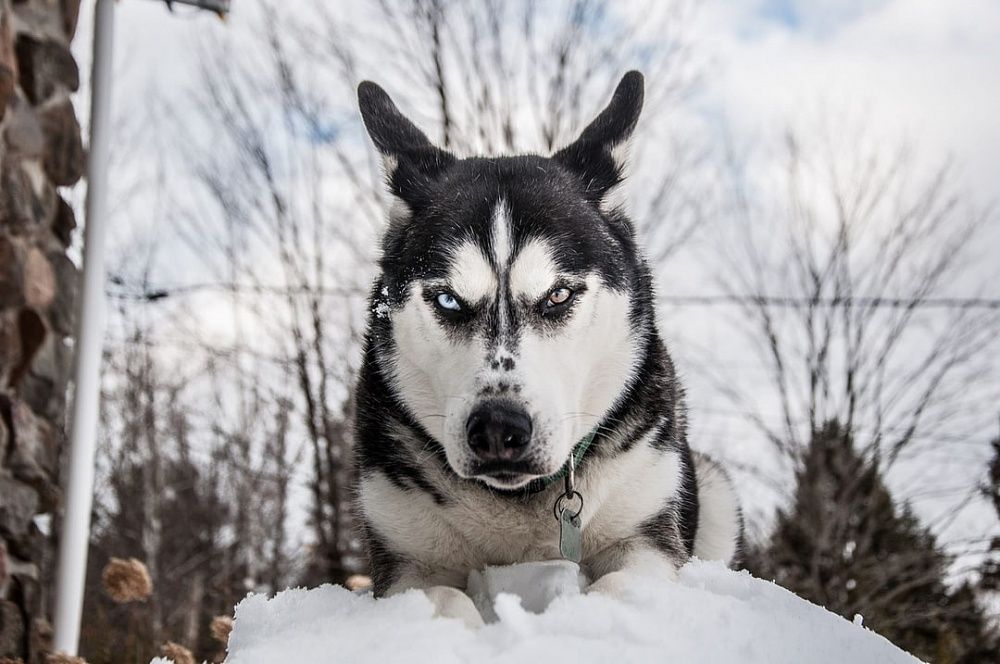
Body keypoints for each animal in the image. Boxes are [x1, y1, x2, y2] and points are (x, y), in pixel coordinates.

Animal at [356, 72, 740, 628]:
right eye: (448, 299)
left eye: (558, 295)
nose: (498, 428)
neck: (518, 503)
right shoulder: (408, 559)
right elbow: (441, 599)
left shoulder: (644, 540)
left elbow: (618, 589)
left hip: (714, 490)